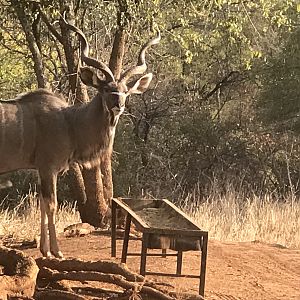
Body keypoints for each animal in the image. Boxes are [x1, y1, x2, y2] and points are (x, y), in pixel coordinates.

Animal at [0, 19, 161, 258]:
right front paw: (55, 252)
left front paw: (44, 250)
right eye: (107, 89)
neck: (70, 122)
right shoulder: (48, 168)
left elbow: (42, 204)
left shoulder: (40, 170)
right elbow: (51, 205)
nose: (119, 105)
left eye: (126, 91)